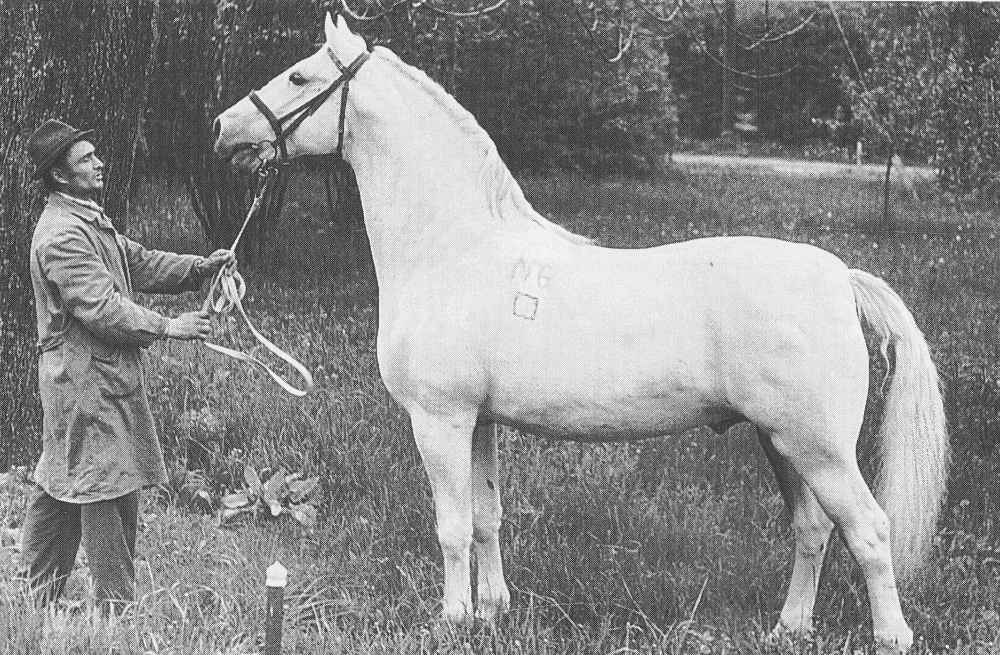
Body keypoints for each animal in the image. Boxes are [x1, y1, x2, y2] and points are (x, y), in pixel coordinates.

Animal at [213, 15, 948, 653]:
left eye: (301, 76)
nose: (223, 128)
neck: (454, 250)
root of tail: (839, 276)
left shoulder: (440, 419)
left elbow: (452, 526)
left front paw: (452, 618)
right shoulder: (480, 422)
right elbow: (487, 517)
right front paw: (493, 609)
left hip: (817, 447)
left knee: (869, 530)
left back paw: (891, 635)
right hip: (785, 443)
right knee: (813, 528)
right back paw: (788, 628)